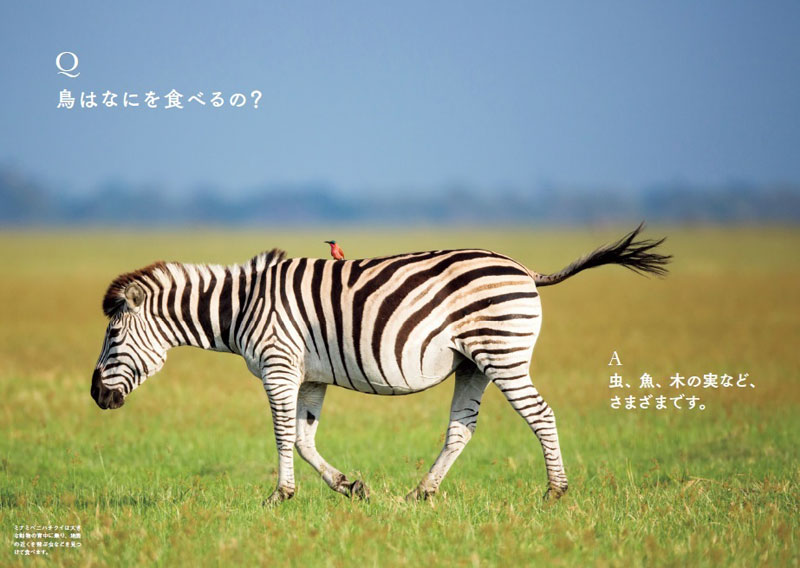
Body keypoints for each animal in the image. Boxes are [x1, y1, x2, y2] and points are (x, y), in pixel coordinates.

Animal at [94, 224, 668, 504]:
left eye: (114, 334)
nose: (96, 396)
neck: (242, 306)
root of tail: (524, 268)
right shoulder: (310, 375)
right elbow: (303, 438)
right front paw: (350, 487)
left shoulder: (280, 363)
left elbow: (282, 435)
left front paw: (279, 496)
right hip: (473, 363)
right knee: (461, 429)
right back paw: (422, 494)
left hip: (502, 352)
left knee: (541, 414)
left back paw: (556, 493)